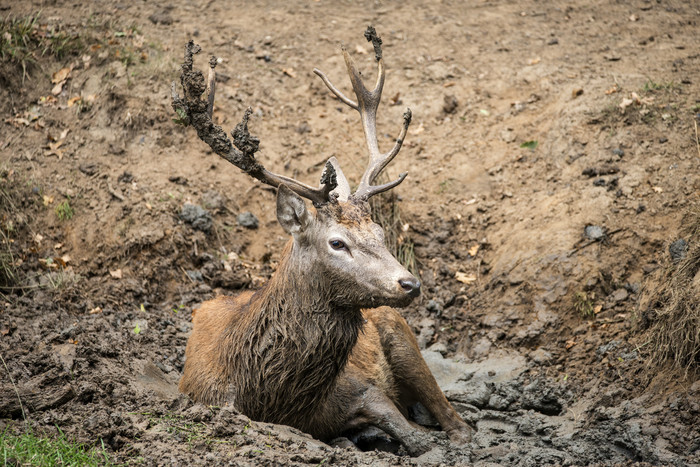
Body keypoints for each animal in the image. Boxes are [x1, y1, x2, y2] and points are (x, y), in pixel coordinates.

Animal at [172, 26, 474, 458]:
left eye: (381, 233)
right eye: (336, 243)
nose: (410, 283)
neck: (274, 400)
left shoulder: (361, 386)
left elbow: (417, 436)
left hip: (400, 333)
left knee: (453, 418)